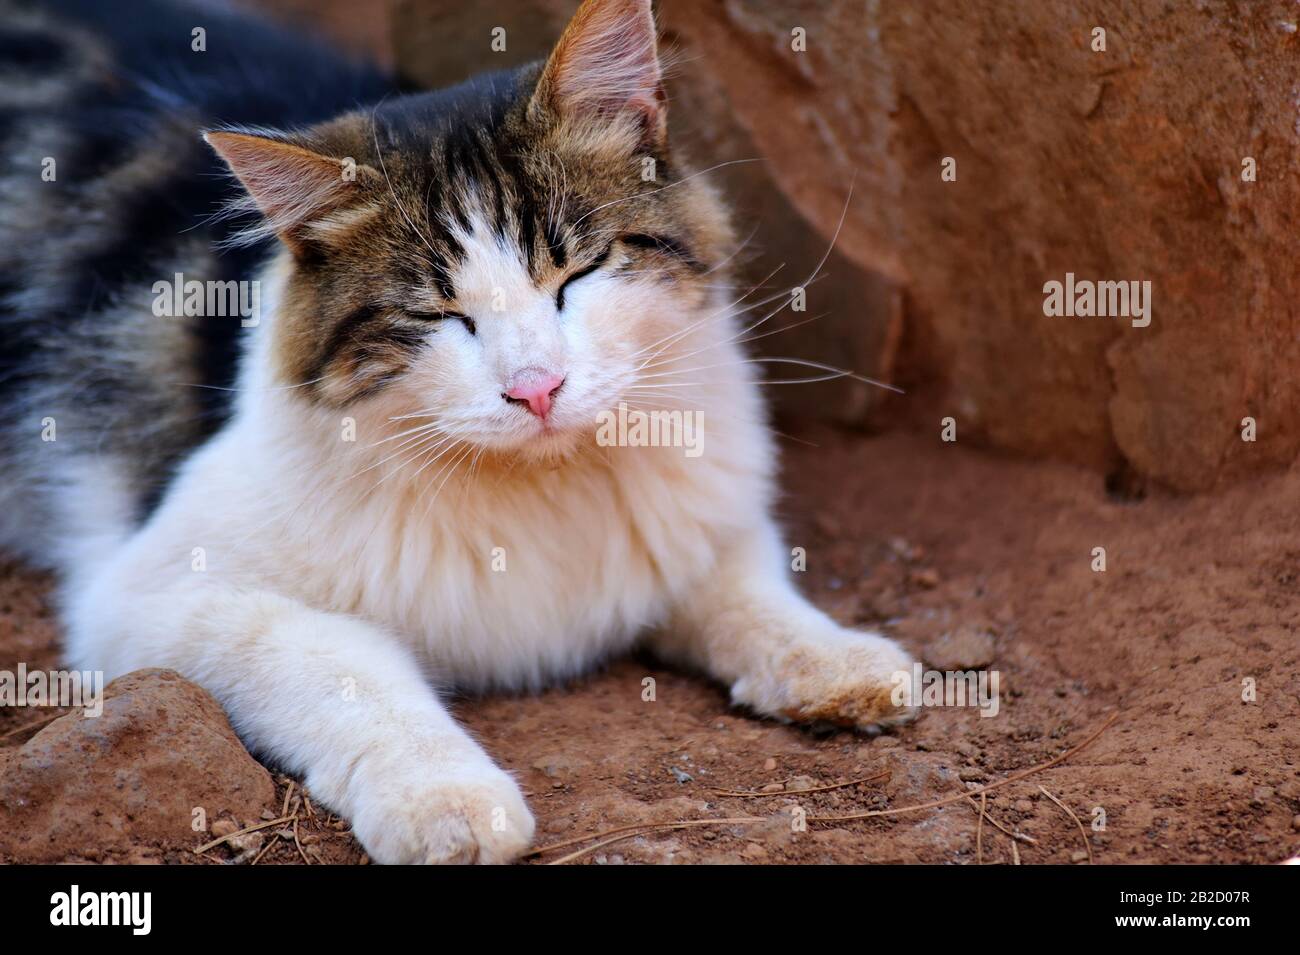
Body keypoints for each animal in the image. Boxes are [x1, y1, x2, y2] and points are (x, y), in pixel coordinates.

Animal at [0, 0, 915, 867]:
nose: (536, 388)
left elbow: (752, 595)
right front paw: (443, 797)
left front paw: (837, 659)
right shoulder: (158, 593)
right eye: (440, 317)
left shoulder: (700, 522)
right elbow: (347, 667)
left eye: (578, 273)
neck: (545, 488)